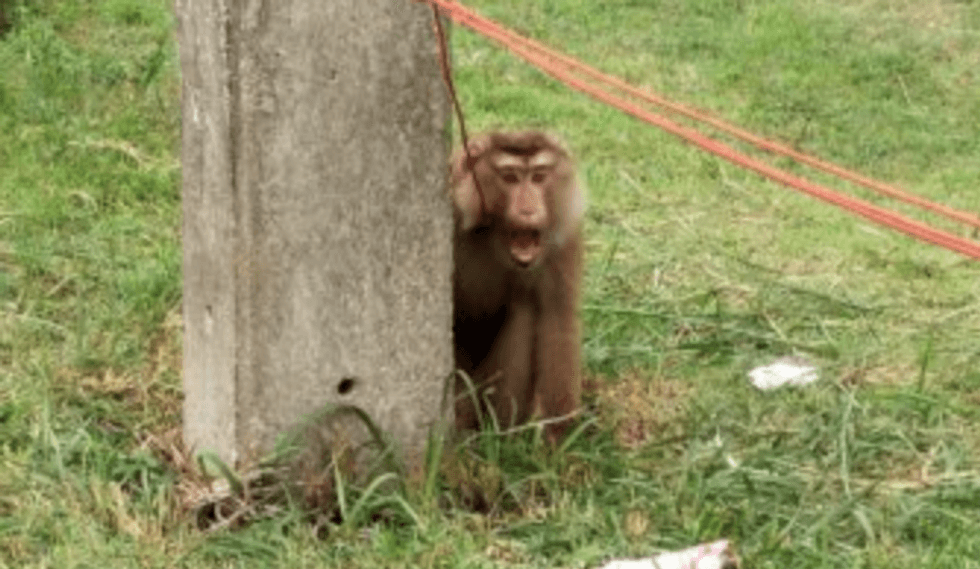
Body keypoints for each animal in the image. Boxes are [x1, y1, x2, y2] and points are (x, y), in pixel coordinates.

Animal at [450, 131, 585, 443]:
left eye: (539, 177)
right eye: (510, 177)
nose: (528, 209)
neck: (492, 236)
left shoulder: (563, 236)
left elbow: (556, 320)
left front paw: (559, 435)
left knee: (524, 308)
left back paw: (502, 434)